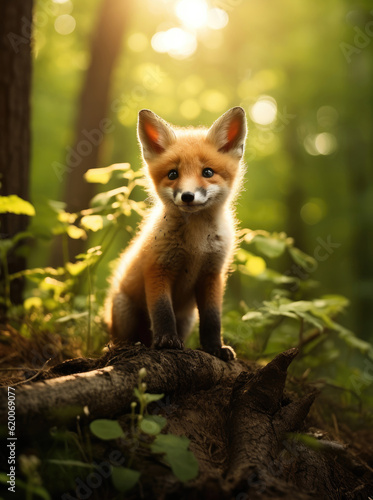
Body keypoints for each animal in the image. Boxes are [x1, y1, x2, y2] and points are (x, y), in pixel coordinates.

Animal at [104, 107, 246, 362]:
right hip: (124, 311)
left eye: (207, 172)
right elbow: (162, 311)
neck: (196, 244)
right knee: (123, 340)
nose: (187, 196)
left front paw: (214, 347)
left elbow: (212, 319)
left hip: (188, 318)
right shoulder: (157, 267)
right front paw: (167, 341)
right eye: (172, 174)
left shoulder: (212, 273)